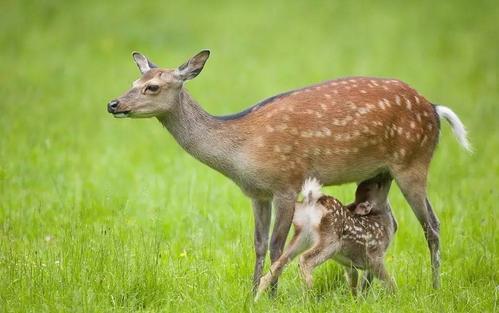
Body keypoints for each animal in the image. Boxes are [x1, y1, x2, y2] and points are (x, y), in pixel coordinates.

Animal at [107, 48, 470, 290]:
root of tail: (434, 109)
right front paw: (251, 291)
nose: (113, 103)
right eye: (134, 80)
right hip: (381, 174)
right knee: (391, 222)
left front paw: (272, 295)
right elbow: (257, 243)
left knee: (432, 225)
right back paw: (368, 290)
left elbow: (276, 246)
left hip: (413, 162)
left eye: (152, 87)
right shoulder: (256, 193)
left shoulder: (286, 182)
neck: (240, 151)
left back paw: (435, 287)